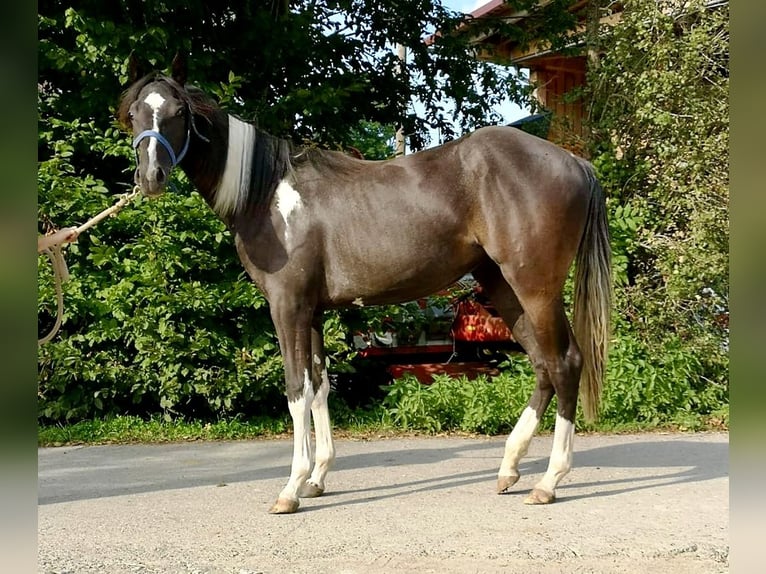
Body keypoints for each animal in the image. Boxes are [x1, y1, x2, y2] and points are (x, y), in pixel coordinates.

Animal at [118, 54, 612, 514]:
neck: (268, 194)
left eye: (179, 112)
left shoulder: (287, 307)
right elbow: (319, 386)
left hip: (535, 288)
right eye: (136, 113)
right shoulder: (312, 312)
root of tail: (574, 161)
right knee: (543, 366)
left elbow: (296, 389)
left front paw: (291, 489)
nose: (150, 177)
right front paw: (317, 479)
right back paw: (509, 467)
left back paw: (548, 481)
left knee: (564, 362)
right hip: (503, 287)